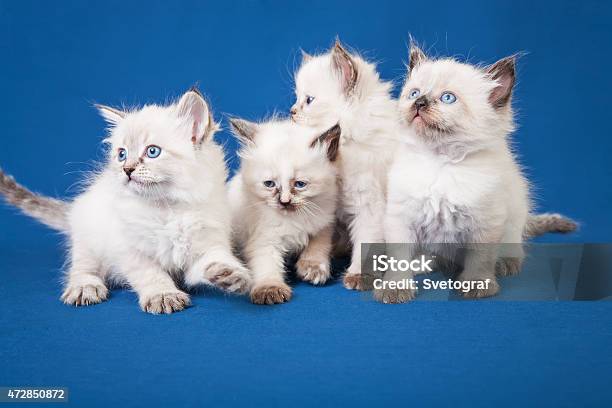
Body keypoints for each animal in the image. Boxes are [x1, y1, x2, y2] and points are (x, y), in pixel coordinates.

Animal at [0, 88, 251, 312]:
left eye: (152, 152)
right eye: (121, 154)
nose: (127, 169)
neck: (167, 209)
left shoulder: (206, 244)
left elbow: (214, 261)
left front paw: (232, 276)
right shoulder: (128, 249)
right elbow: (150, 274)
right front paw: (163, 295)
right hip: (88, 236)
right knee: (80, 267)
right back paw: (85, 288)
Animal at [226, 118, 340, 302]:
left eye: (300, 184)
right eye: (269, 184)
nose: (284, 202)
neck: (293, 220)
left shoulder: (323, 225)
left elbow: (317, 247)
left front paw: (313, 269)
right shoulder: (264, 240)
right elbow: (267, 266)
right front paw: (270, 290)